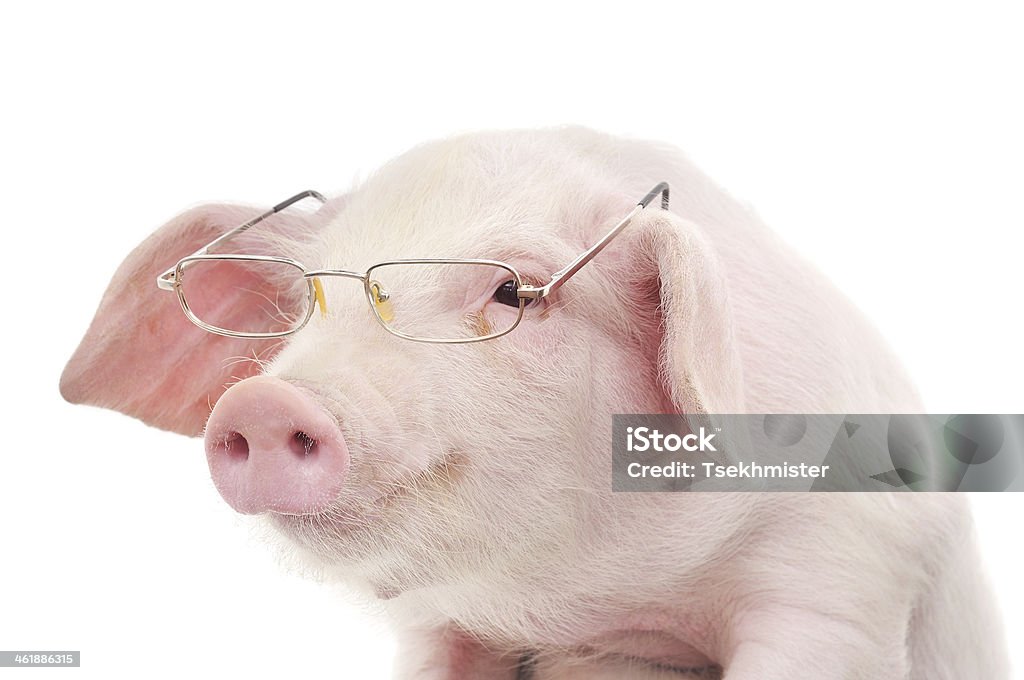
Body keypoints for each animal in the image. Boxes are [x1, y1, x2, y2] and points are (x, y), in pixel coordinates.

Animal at [59, 129, 1003, 680]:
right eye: (306, 300)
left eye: (512, 290)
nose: (262, 401)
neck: (611, 611)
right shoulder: (438, 622)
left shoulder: (846, 567)